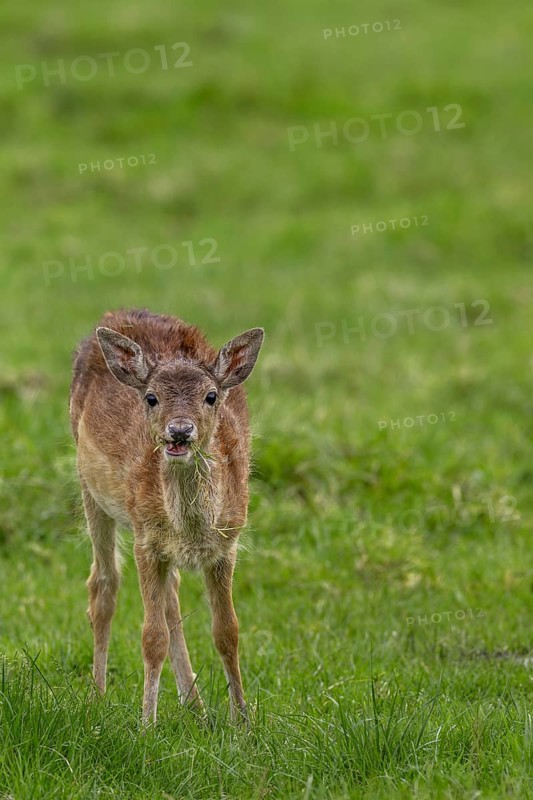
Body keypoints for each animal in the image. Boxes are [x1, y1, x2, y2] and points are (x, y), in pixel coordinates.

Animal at [69, 308, 264, 725]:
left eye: (210, 396)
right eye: (151, 397)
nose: (179, 430)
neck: (192, 529)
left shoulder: (228, 543)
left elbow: (228, 632)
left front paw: (243, 721)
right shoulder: (146, 539)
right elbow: (151, 636)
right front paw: (146, 724)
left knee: (171, 591)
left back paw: (196, 704)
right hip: (89, 487)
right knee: (103, 585)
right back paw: (96, 697)